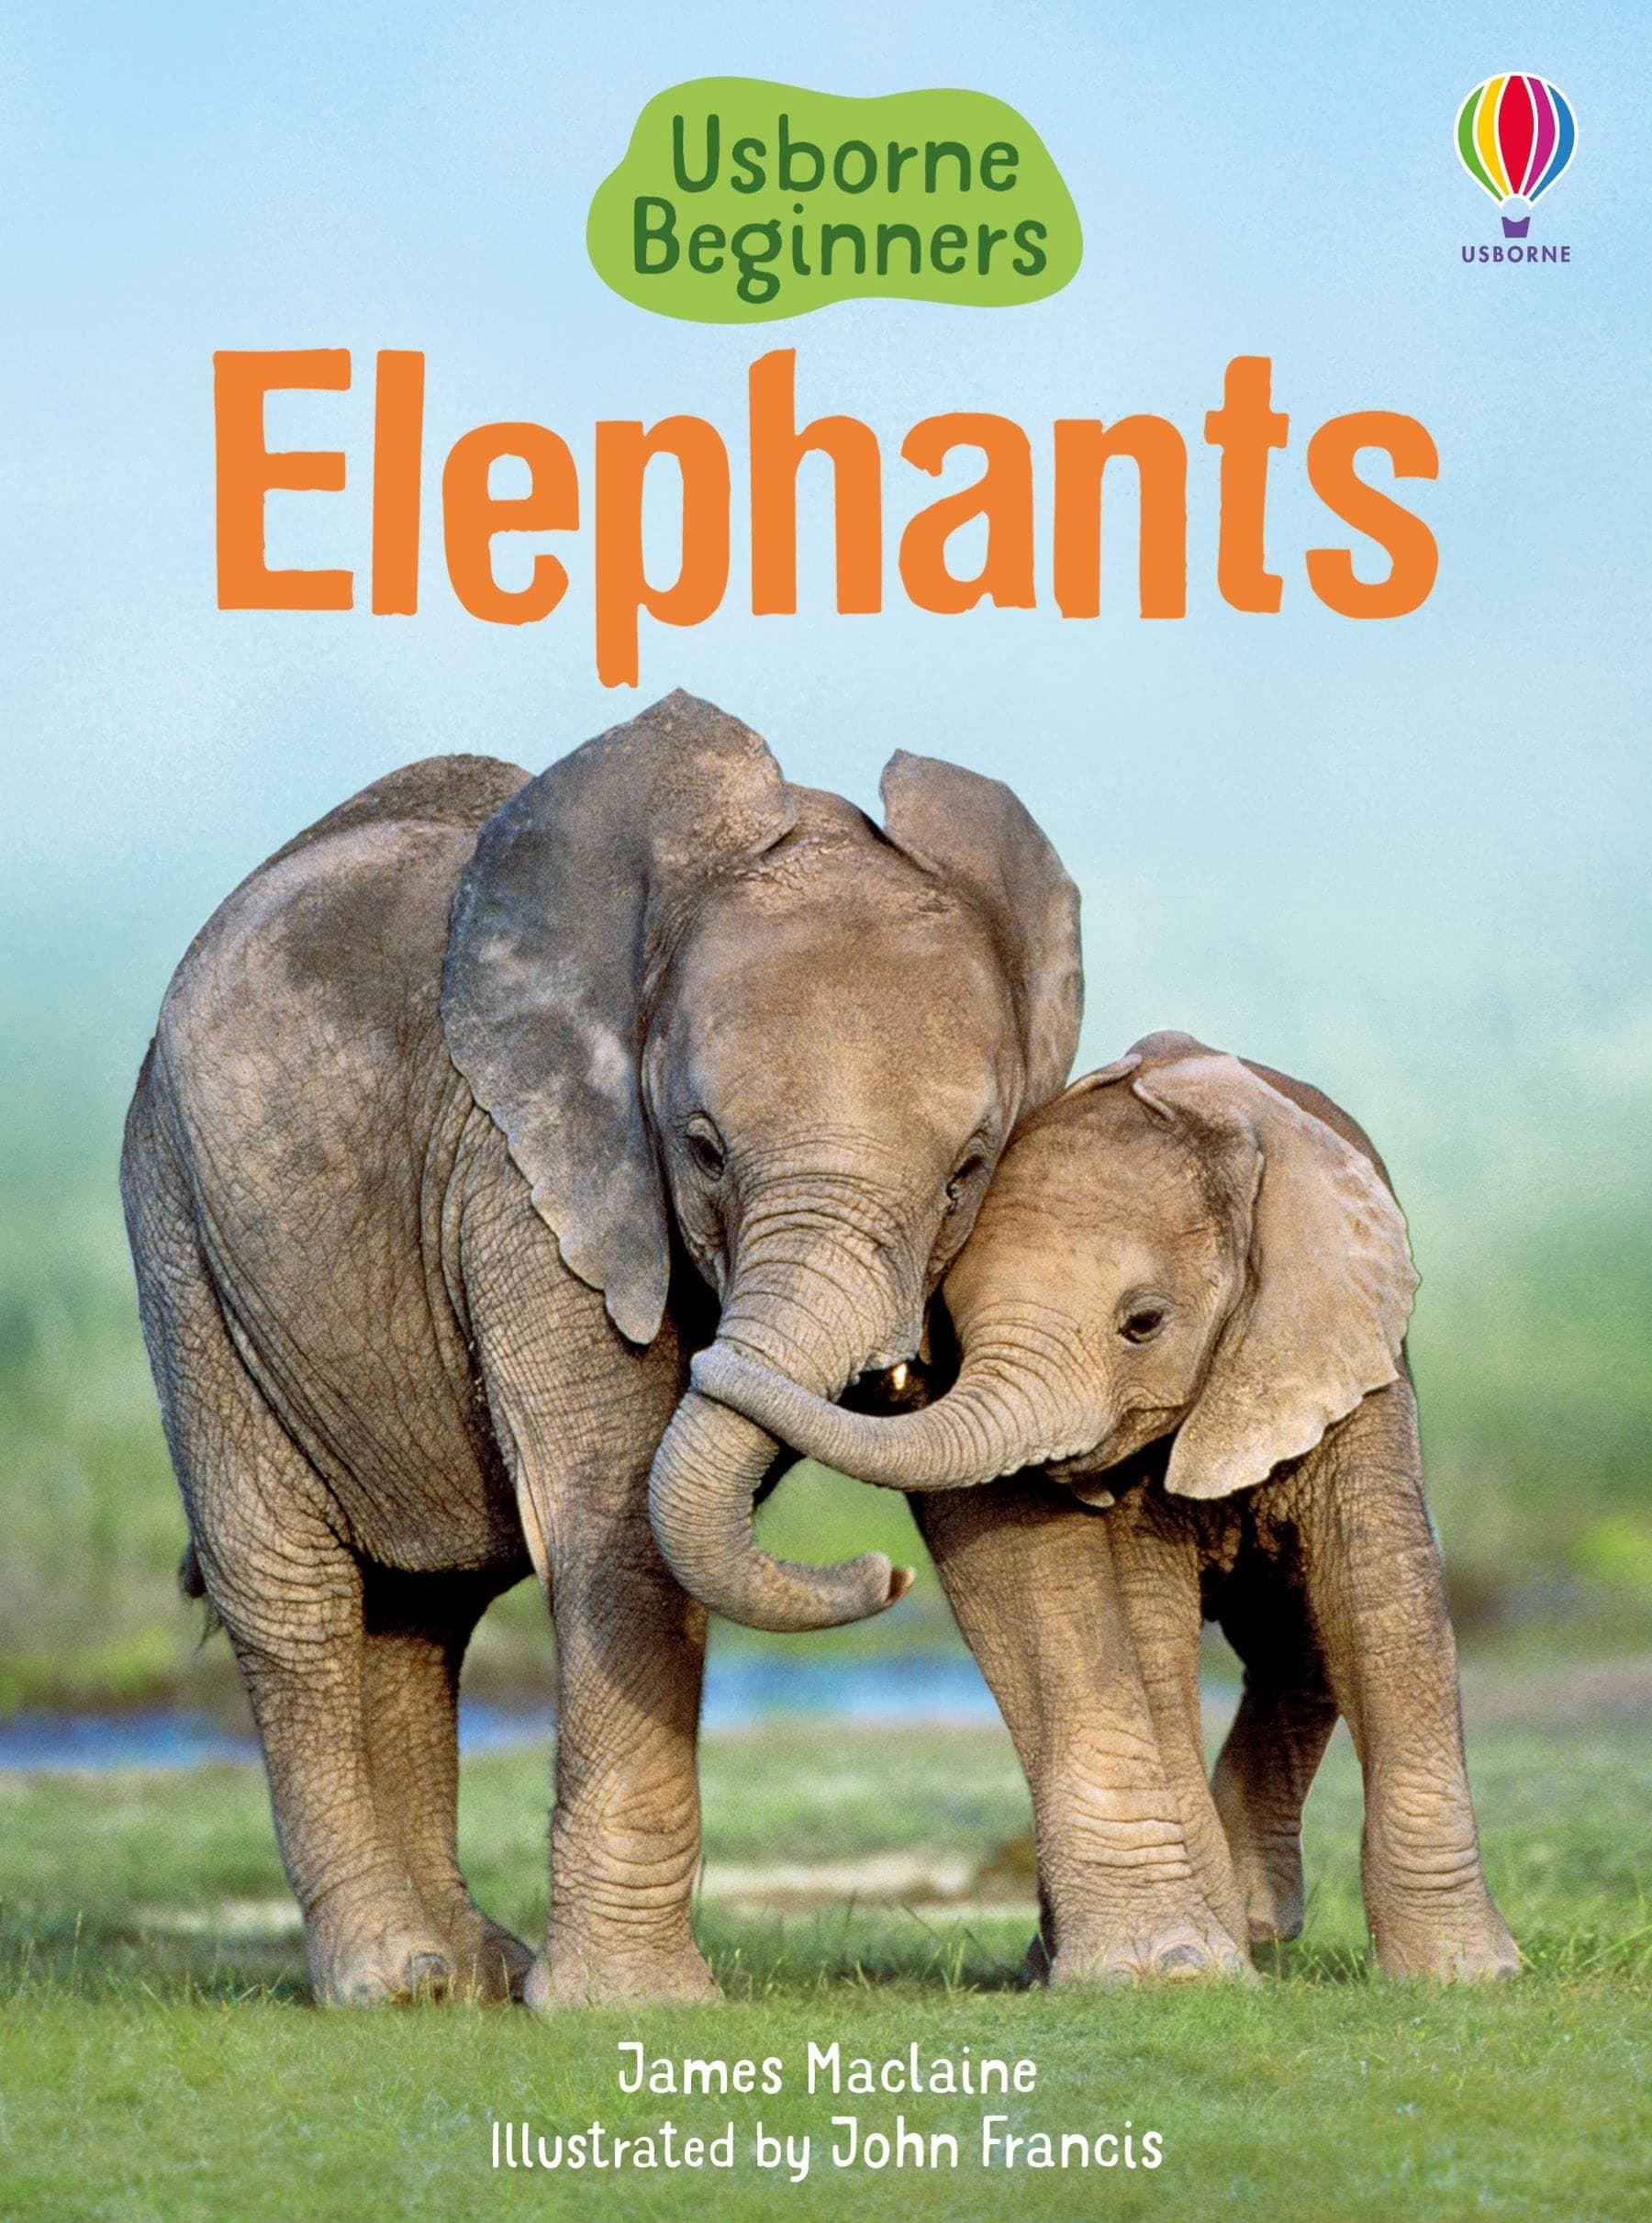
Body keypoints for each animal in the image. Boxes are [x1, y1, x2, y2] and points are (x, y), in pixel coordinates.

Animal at [120, 689, 1107, 2008]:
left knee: (418, 1608)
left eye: (969, 1168)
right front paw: (634, 2006)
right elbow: (614, 1513)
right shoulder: (528, 1180)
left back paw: (472, 1973)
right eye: (701, 1149)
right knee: (291, 1588)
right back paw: (396, 1980)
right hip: (181, 1226)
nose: (880, 1572)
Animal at [694, 1030, 1521, 1982]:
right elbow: (1148, 1628)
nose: (887, 1575)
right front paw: (1193, 1969)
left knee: (1300, 1632)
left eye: (1144, 1323)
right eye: (954, 1326)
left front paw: (1470, 1976)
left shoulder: (1343, 1358)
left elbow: (1378, 1596)